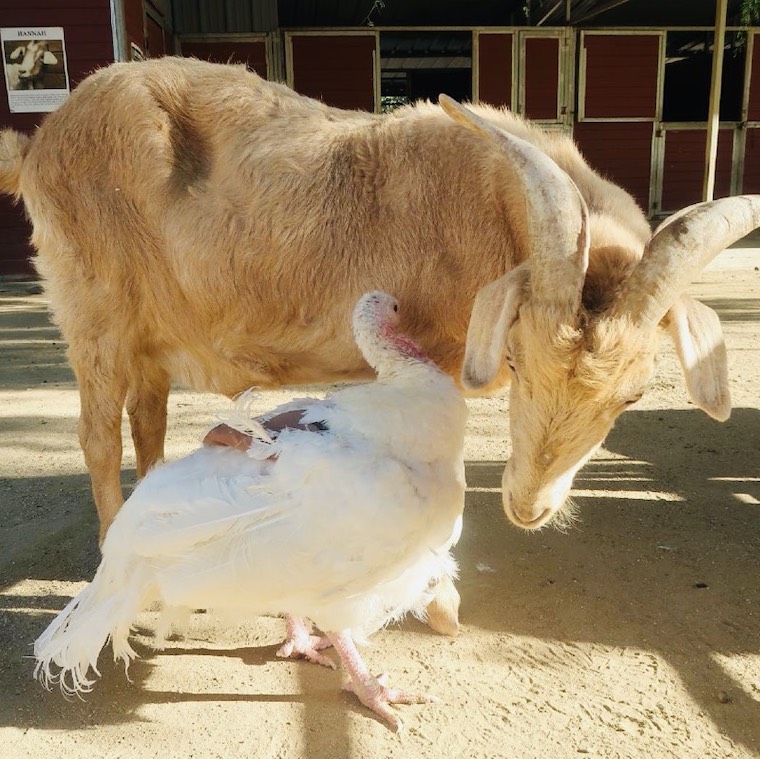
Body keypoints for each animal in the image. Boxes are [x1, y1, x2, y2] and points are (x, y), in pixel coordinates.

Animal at [0, 56, 757, 541]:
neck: (491, 203)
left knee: (147, 421)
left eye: (632, 397)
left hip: (149, 331)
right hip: (94, 311)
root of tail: (40, 144)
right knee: (99, 437)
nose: (528, 507)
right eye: (515, 359)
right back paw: (110, 548)